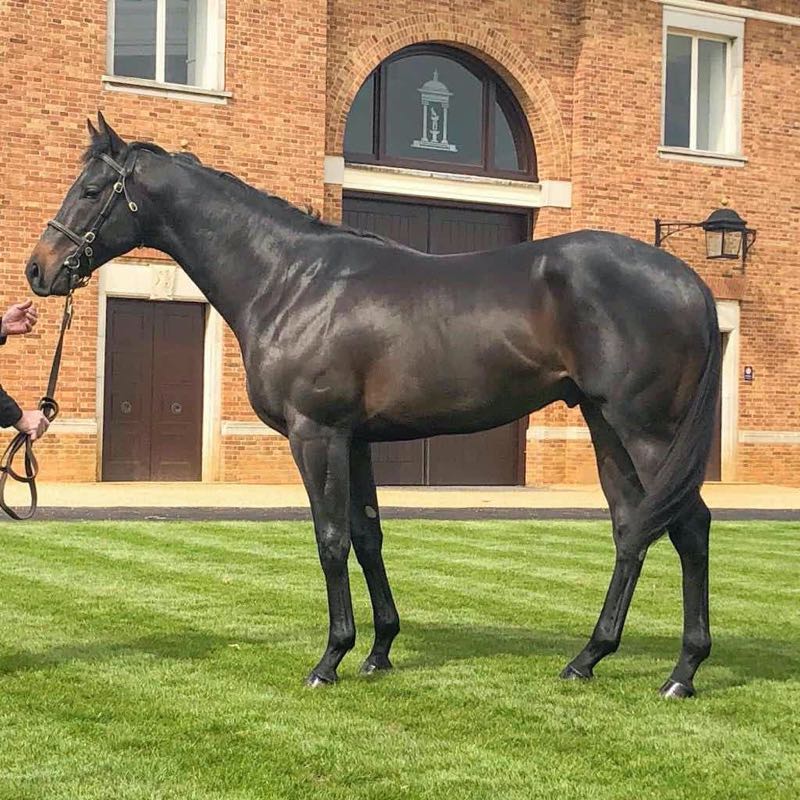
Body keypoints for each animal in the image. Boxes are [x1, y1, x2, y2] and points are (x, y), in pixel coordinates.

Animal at [26, 113, 720, 698]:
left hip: (647, 431)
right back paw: (587, 658)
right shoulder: (356, 439)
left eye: (90, 190)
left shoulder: (316, 434)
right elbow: (367, 535)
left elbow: (330, 537)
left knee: (688, 525)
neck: (290, 281)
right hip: (605, 426)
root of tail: (691, 282)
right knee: (632, 526)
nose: (39, 270)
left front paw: (330, 658)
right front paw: (379, 650)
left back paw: (682, 672)